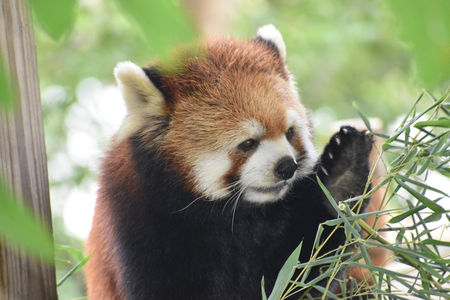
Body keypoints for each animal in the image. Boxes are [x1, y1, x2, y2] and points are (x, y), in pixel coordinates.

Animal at [85, 24, 372, 298]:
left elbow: (303, 269)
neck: (229, 215)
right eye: (248, 143)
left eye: (289, 132)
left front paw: (342, 177)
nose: (286, 167)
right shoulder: (140, 224)